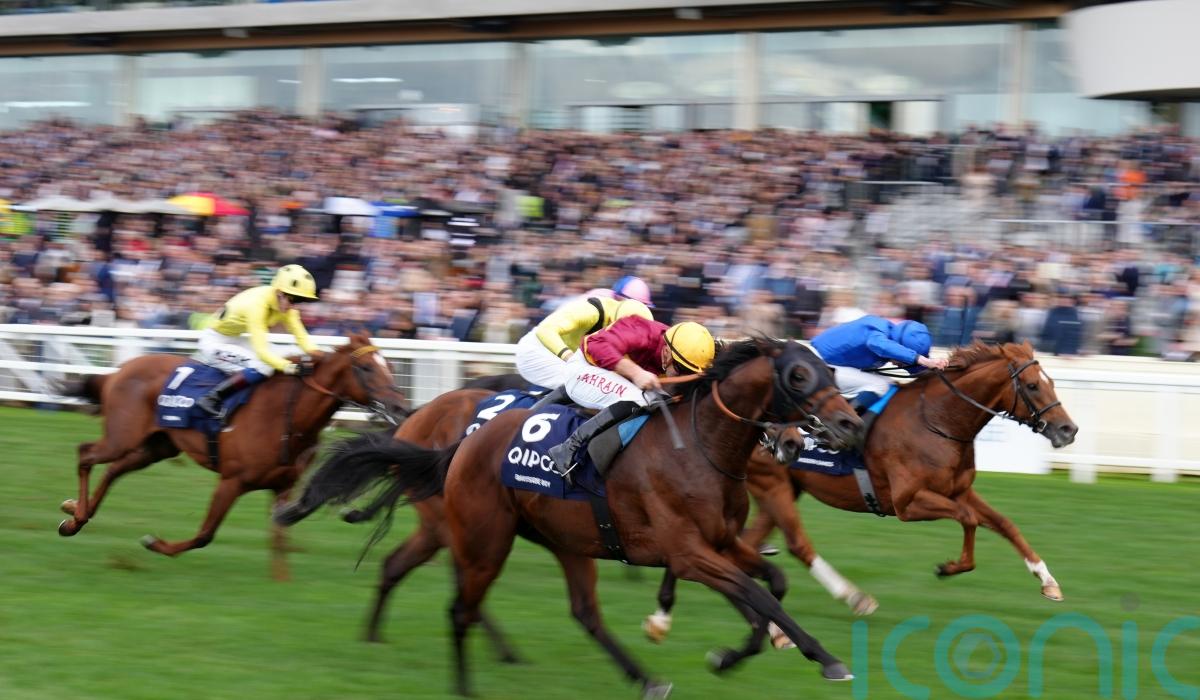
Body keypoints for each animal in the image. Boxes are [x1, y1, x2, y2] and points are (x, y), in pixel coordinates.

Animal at [57, 332, 408, 580]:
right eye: (366, 368)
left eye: (390, 367)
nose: (401, 407)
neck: (286, 417)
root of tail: (118, 370)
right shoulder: (232, 481)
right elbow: (205, 534)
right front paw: (155, 543)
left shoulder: (283, 486)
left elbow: (279, 537)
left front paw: (282, 583)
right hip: (122, 437)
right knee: (86, 454)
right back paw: (76, 518)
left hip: (156, 446)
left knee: (113, 469)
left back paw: (77, 513)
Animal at [282, 339, 864, 697]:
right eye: (798, 374)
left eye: (830, 370)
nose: (848, 424)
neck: (700, 445)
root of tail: (457, 442)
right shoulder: (688, 553)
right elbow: (757, 594)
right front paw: (824, 657)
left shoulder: (721, 542)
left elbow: (770, 586)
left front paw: (734, 653)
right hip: (481, 538)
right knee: (461, 607)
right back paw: (467, 684)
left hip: (562, 540)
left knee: (583, 613)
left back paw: (645, 679)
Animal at [643, 341, 1079, 645]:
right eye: (1032, 385)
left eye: (1052, 382)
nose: (1068, 430)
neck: (939, 420)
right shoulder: (908, 503)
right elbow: (969, 520)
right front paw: (951, 566)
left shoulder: (959, 490)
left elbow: (1004, 523)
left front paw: (1048, 581)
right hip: (772, 483)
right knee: (797, 545)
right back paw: (852, 597)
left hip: (779, 489)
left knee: (744, 543)